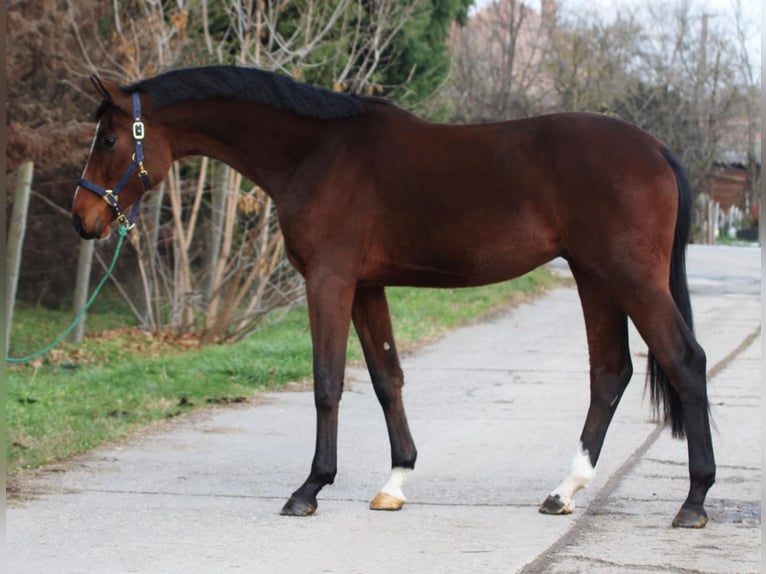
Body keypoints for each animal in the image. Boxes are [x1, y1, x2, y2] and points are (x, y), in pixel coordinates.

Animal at [70, 65, 712, 528]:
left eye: (109, 138)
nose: (83, 219)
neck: (315, 152)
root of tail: (655, 149)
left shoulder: (329, 280)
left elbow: (328, 381)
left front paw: (309, 488)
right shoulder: (366, 285)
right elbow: (386, 378)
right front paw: (395, 482)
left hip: (628, 276)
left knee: (684, 361)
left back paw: (694, 501)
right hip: (593, 275)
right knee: (610, 371)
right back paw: (564, 491)